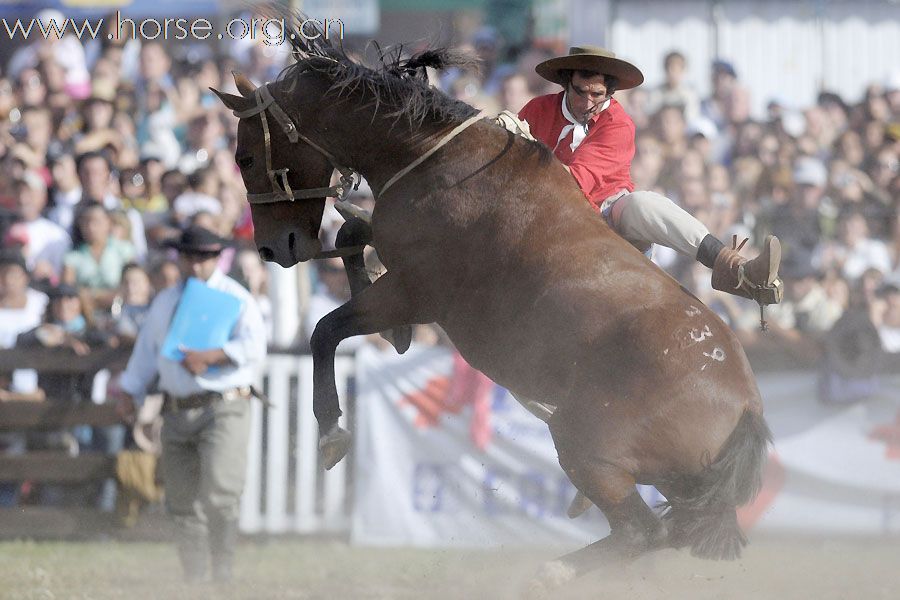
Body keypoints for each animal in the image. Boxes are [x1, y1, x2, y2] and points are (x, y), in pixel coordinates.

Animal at [211, 28, 768, 584]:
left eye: (244, 157)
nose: (270, 249)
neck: (436, 159)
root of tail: (745, 403)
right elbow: (352, 234)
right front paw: (395, 334)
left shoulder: (412, 291)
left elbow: (325, 330)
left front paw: (331, 431)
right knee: (666, 530)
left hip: (588, 447)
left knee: (641, 530)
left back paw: (548, 574)